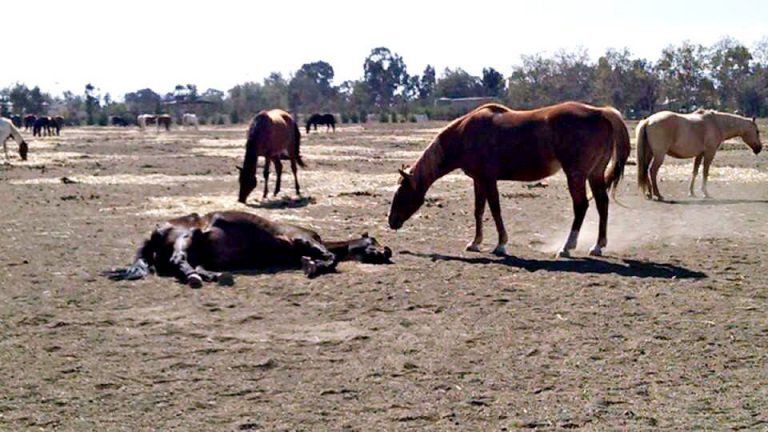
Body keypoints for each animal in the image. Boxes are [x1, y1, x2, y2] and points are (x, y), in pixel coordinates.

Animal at [105, 210, 393, 287]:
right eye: (373, 242)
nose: (387, 252)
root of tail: (156, 230)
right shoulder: (301, 239)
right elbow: (330, 257)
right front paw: (311, 266)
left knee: (188, 265)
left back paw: (214, 276)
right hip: (186, 237)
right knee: (180, 261)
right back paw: (199, 278)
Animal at [388, 102, 630, 258]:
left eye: (401, 193)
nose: (391, 221)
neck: (465, 134)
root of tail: (600, 112)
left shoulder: (488, 180)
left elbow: (495, 210)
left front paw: (501, 245)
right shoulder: (478, 180)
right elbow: (479, 210)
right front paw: (475, 243)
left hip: (576, 175)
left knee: (581, 206)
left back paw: (567, 247)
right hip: (594, 174)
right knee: (602, 204)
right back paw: (598, 246)